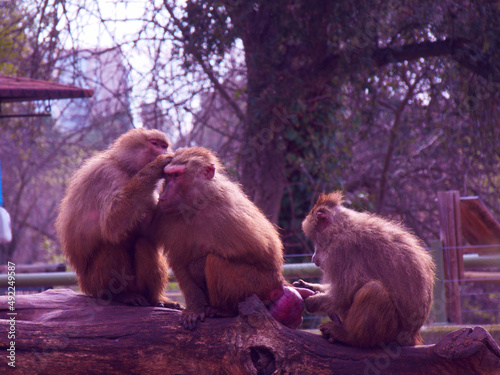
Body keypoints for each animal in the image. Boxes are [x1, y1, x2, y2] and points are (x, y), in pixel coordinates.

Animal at [55, 128, 181, 310]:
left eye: (164, 145)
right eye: (155, 144)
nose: (164, 151)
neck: (126, 167)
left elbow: (149, 232)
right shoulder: (107, 175)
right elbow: (112, 224)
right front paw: (157, 166)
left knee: (144, 243)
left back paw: (154, 298)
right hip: (92, 284)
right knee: (111, 246)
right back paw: (122, 295)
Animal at [150, 147, 302, 328]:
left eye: (177, 176)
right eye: (167, 176)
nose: (163, 194)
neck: (197, 205)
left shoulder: (228, 210)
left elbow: (262, 251)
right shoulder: (169, 218)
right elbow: (181, 263)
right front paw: (195, 309)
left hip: (262, 285)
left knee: (214, 262)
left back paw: (225, 310)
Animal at [294, 192, 436, 348]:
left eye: (316, 241)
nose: (313, 258)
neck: (342, 227)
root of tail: (411, 337)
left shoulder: (341, 248)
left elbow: (345, 293)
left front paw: (315, 301)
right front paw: (310, 286)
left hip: (391, 332)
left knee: (374, 290)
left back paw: (350, 336)